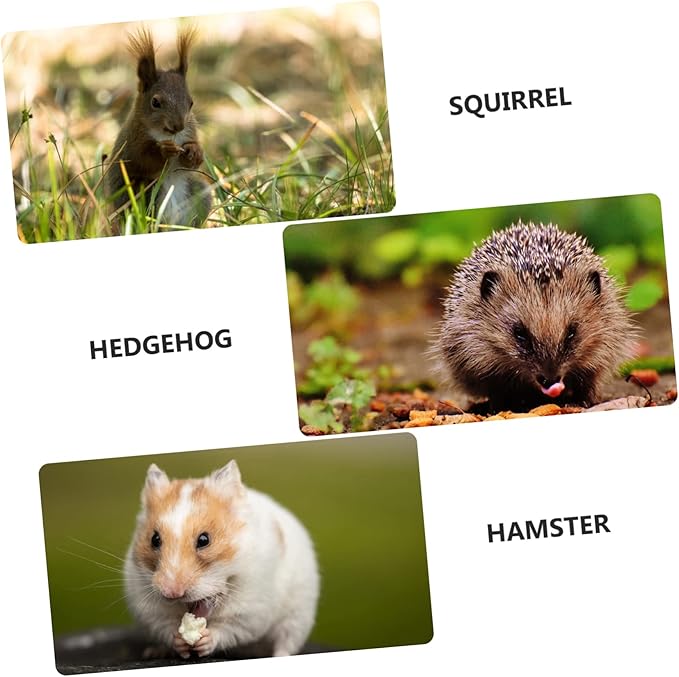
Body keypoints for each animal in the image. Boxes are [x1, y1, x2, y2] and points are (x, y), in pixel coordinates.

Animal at [124, 460, 320, 659]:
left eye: (204, 540)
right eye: (154, 539)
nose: (172, 593)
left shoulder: (250, 612)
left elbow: (227, 629)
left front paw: (204, 639)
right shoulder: (151, 611)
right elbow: (167, 627)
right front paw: (180, 640)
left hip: (298, 616)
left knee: (286, 642)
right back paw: (154, 652)